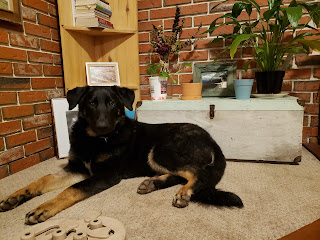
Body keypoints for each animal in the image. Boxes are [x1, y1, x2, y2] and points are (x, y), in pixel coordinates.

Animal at [0, 86, 242, 225]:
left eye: (112, 103)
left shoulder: (105, 175)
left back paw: (184, 193)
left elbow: (71, 189)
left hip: (161, 150)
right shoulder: (76, 168)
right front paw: (16, 196)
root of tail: (212, 141)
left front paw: (44, 208)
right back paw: (152, 183)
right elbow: (43, 179)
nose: (103, 126)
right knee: (182, 174)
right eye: (91, 103)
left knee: (198, 173)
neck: (95, 141)